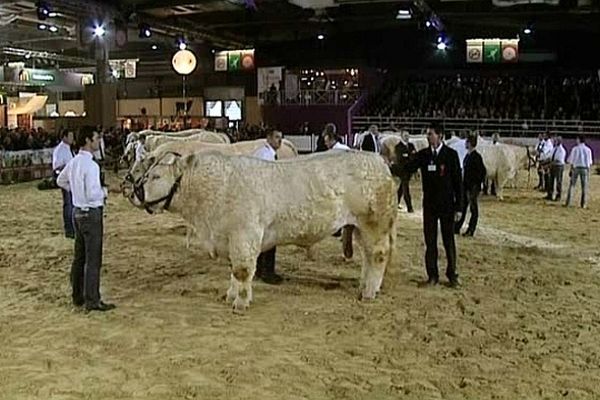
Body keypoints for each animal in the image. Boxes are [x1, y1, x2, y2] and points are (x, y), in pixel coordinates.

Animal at [127, 152, 398, 314]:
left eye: (156, 176)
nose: (133, 192)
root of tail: (377, 160)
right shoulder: (230, 238)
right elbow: (234, 271)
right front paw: (230, 295)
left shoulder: (244, 234)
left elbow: (242, 270)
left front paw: (240, 303)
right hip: (360, 227)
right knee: (367, 258)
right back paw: (364, 285)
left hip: (374, 224)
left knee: (378, 256)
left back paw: (369, 292)